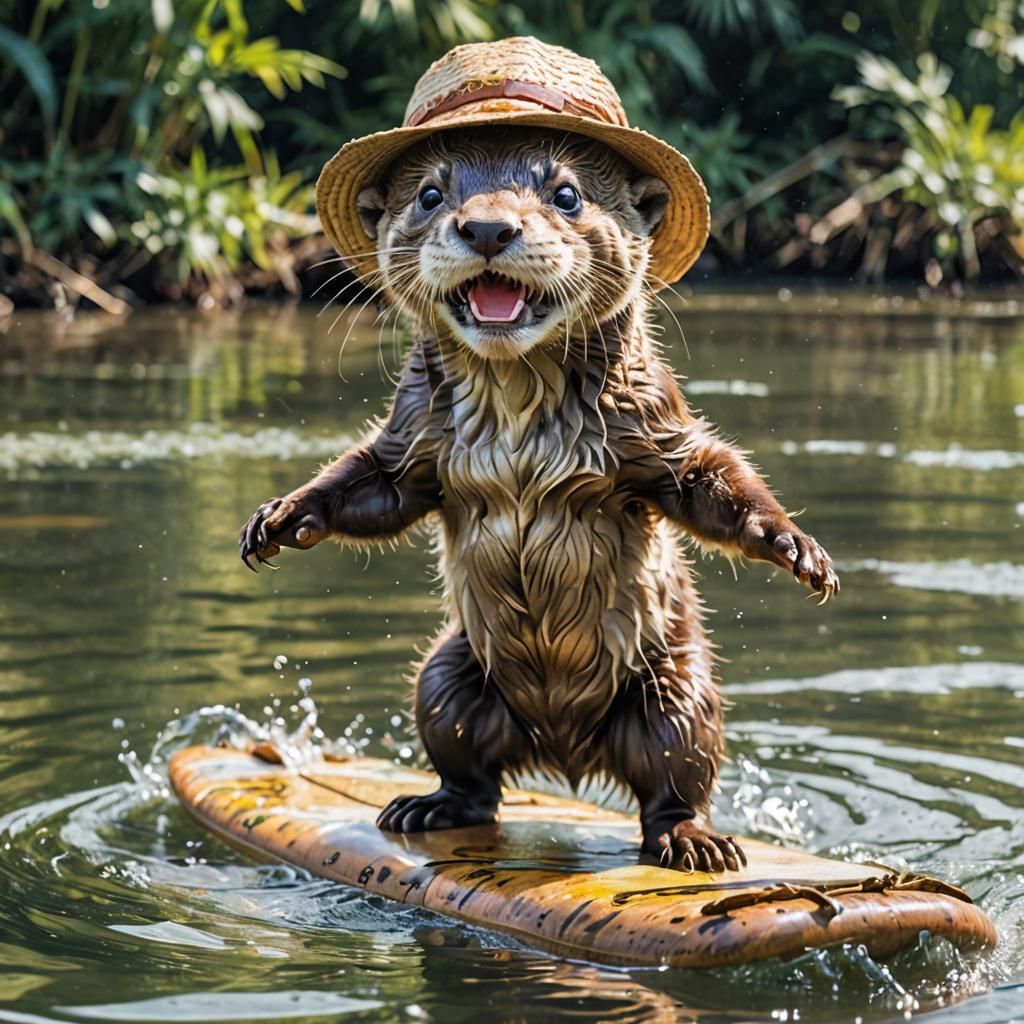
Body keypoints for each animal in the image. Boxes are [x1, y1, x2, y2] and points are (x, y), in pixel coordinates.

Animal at [240, 128, 838, 874]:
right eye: (430, 194)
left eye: (567, 193)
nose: (488, 228)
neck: (519, 423)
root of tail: (564, 751)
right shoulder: (413, 436)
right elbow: (368, 485)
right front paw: (280, 518)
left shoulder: (653, 417)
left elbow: (710, 478)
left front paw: (795, 547)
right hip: (448, 675)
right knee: (470, 768)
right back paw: (426, 806)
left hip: (676, 686)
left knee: (675, 774)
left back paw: (693, 841)